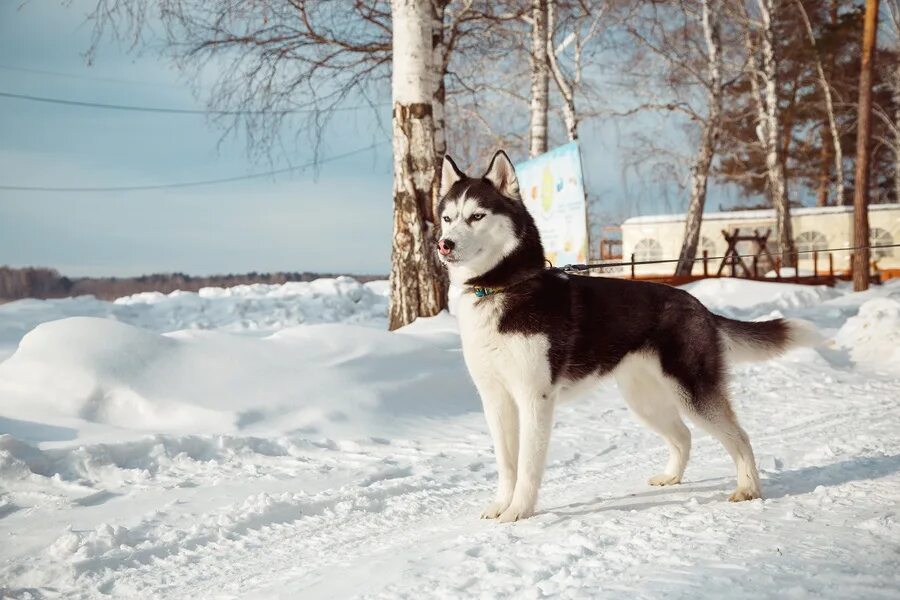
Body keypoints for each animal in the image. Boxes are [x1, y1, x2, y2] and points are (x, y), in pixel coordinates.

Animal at [438, 149, 824, 520]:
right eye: (447, 218)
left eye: (477, 216)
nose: (444, 244)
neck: (501, 287)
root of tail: (697, 304)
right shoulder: (496, 399)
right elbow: (507, 465)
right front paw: (500, 506)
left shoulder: (535, 398)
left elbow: (528, 467)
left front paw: (519, 510)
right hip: (645, 401)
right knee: (683, 435)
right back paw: (672, 477)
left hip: (693, 395)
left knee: (740, 437)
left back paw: (748, 489)